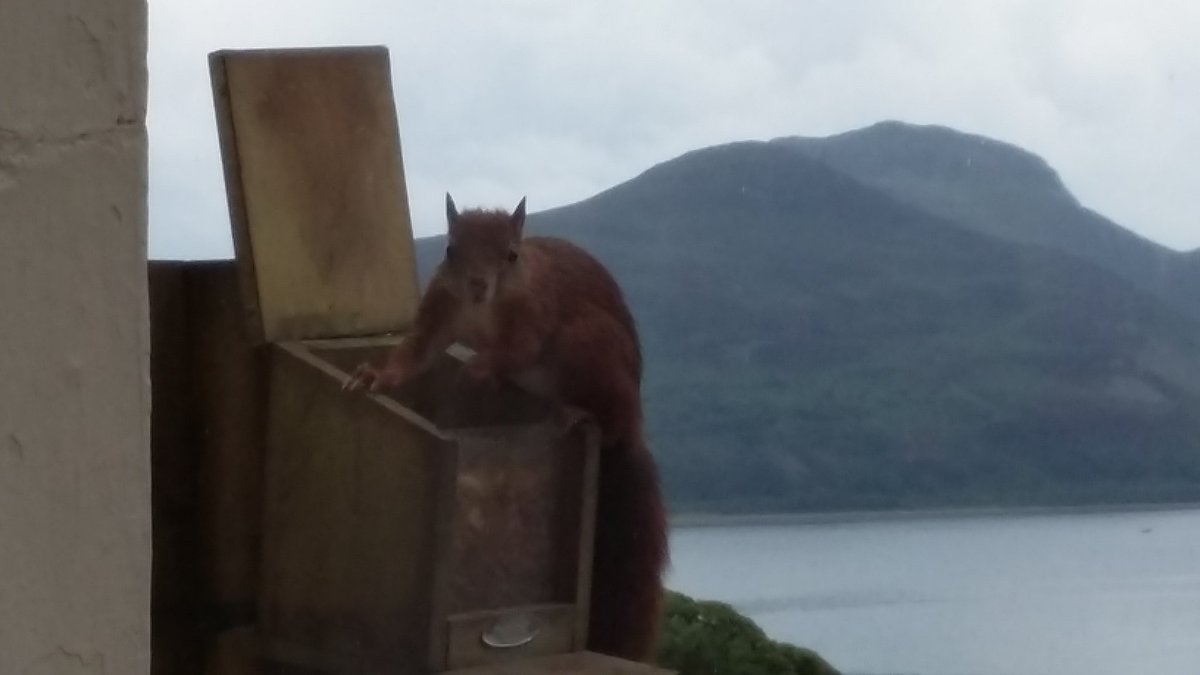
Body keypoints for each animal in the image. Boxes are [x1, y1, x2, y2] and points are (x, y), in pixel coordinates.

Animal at [344, 194, 669, 662]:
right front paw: (375, 377)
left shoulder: (536, 310)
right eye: (450, 250)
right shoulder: (439, 308)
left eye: (512, 255)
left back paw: (580, 415)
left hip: (590, 346)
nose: (478, 284)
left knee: (608, 423)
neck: (484, 309)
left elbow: (518, 349)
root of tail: (632, 427)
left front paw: (479, 369)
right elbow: (415, 355)